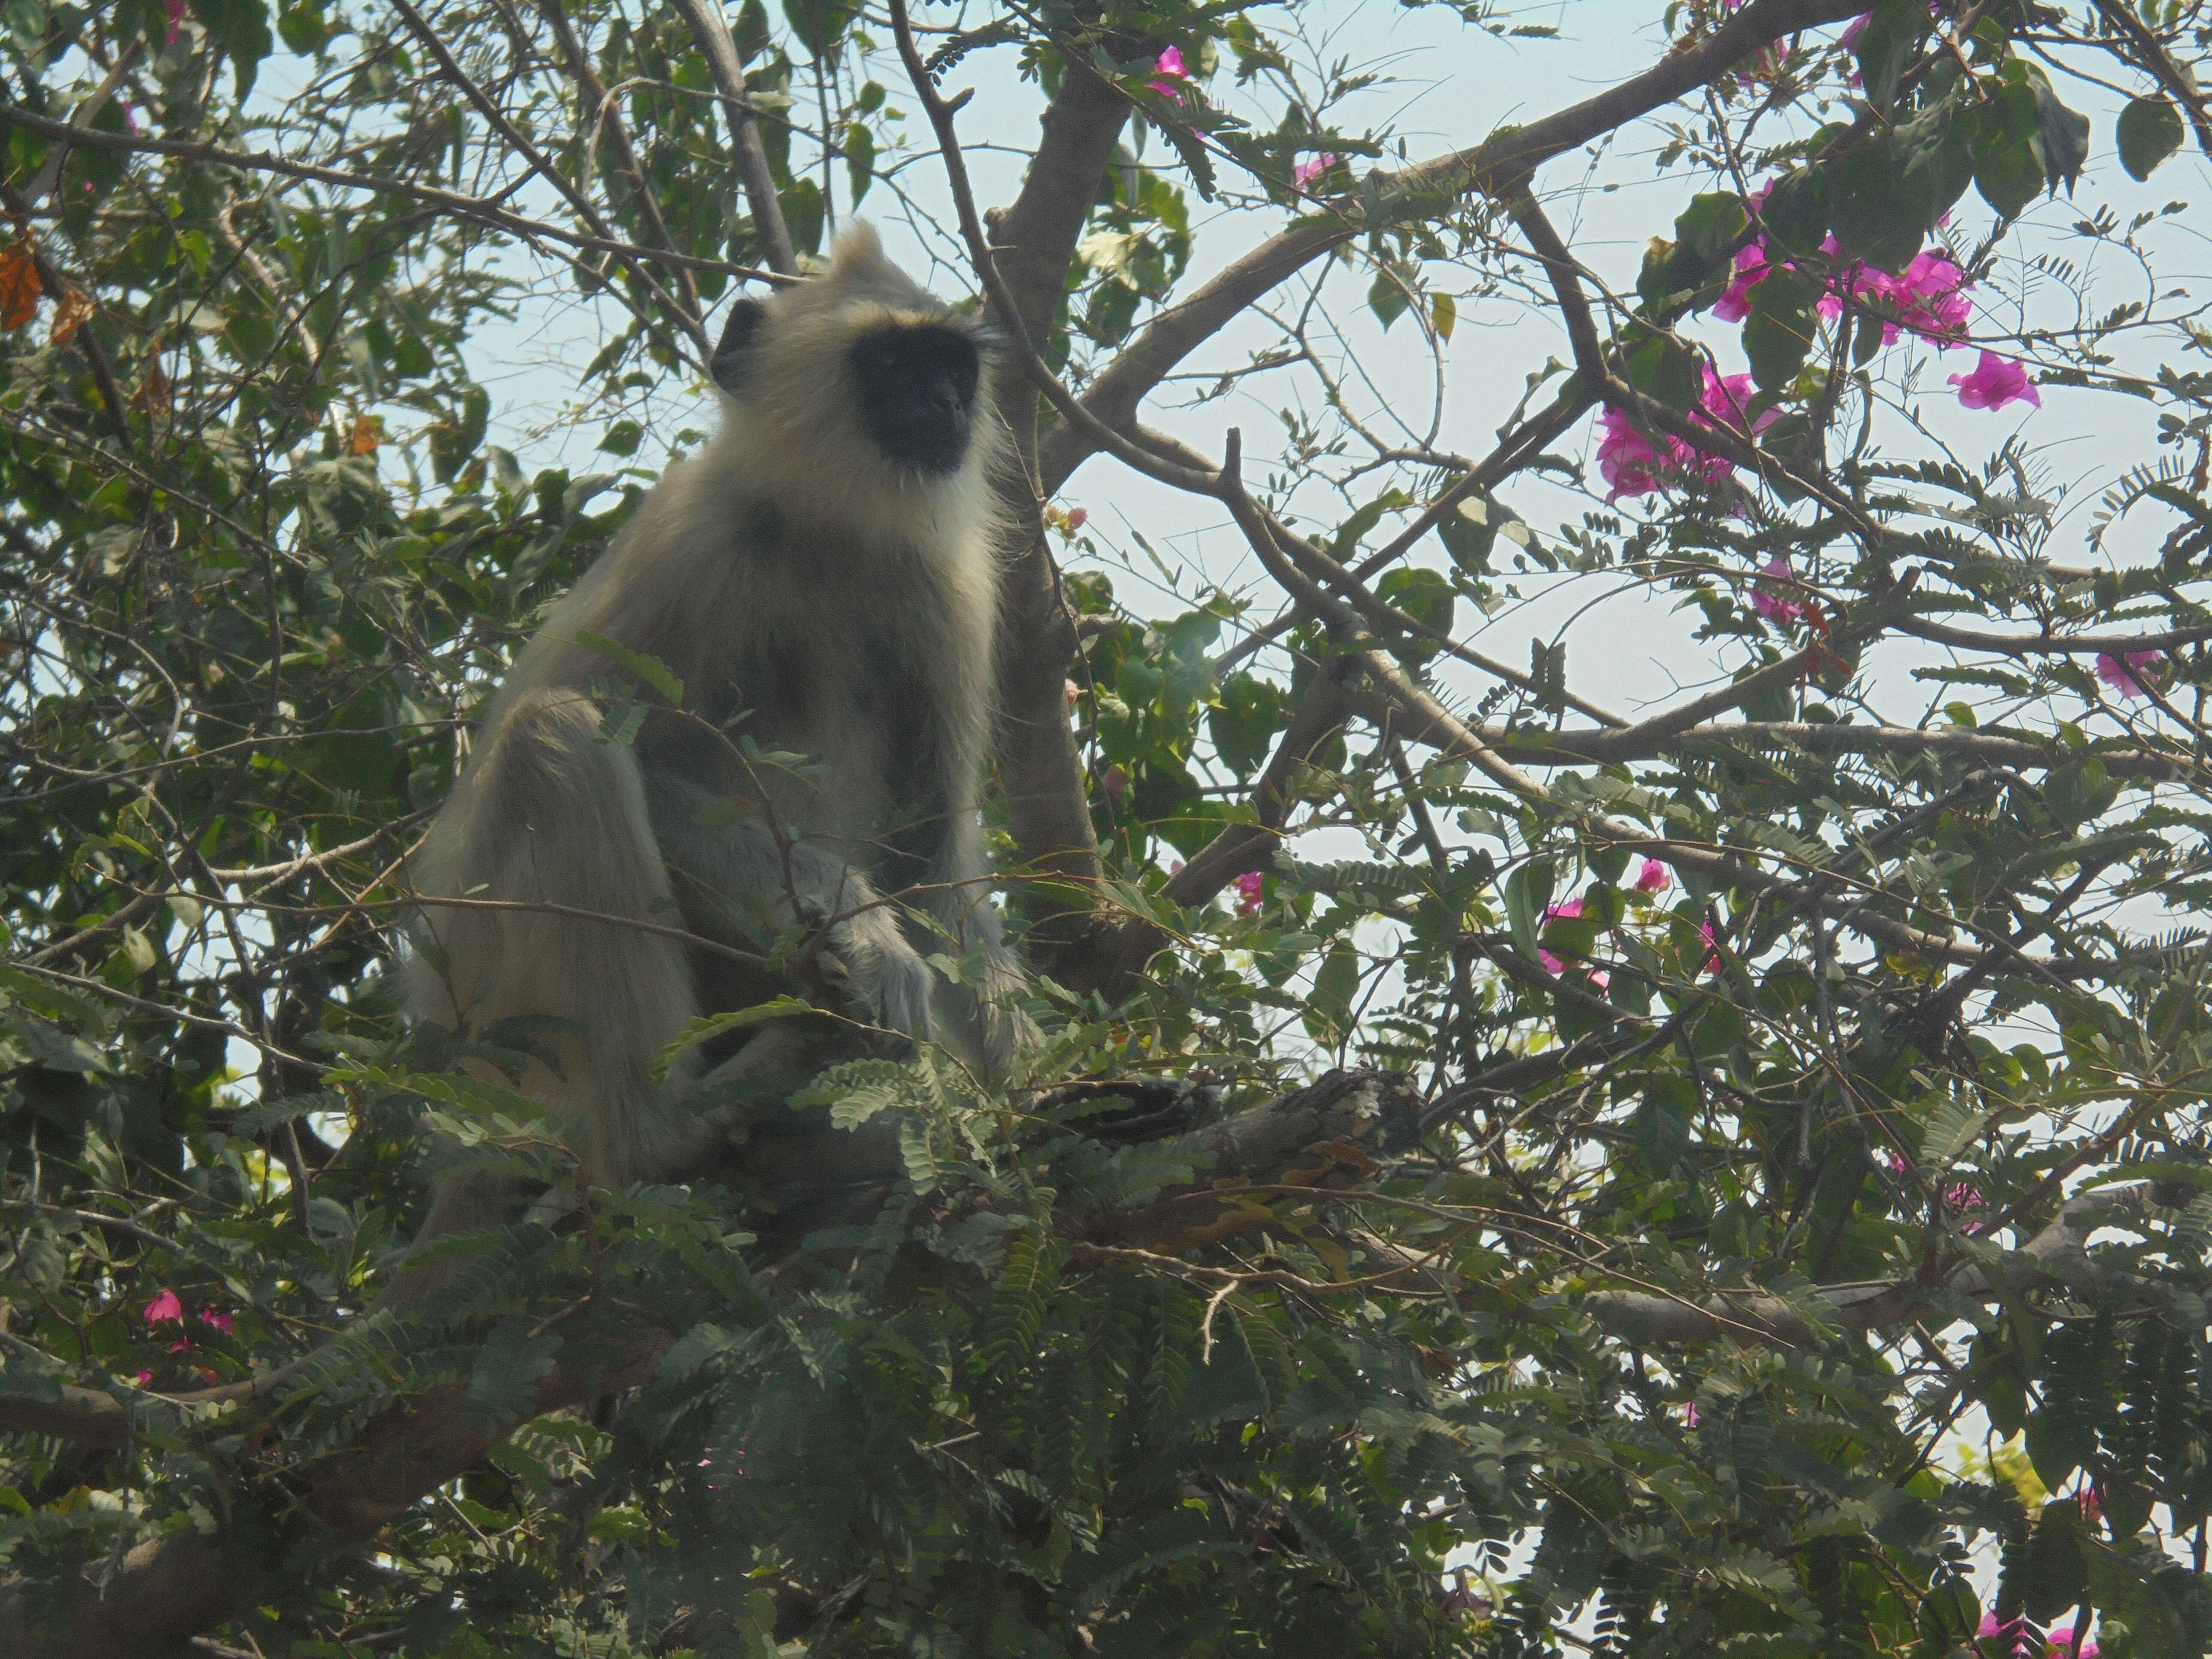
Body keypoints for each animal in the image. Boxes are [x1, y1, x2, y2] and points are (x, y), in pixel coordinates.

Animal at [400, 228, 1035, 1274]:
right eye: (890, 364)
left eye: (952, 367)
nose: (947, 405)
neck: (827, 534)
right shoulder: (695, 550)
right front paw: (862, 930)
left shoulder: (945, 595)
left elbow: (936, 866)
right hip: (496, 1005)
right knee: (553, 733)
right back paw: (670, 1128)